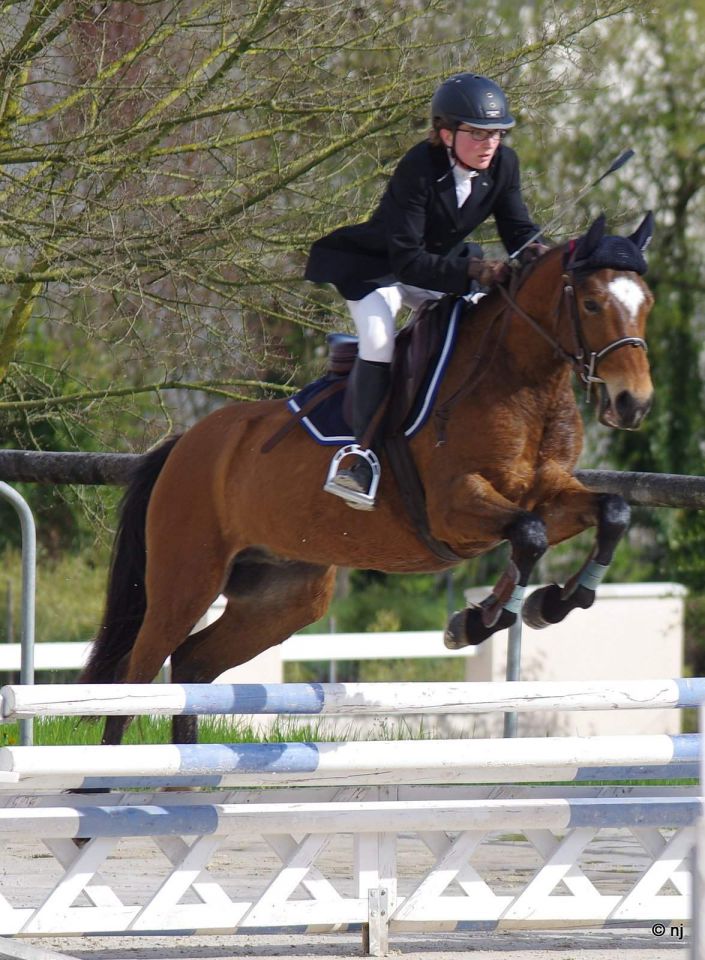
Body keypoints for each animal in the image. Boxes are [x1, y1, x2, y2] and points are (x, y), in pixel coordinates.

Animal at [81, 212, 655, 745]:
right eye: (591, 304)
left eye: (646, 302)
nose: (634, 404)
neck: (524, 384)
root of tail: (184, 445)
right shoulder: (454, 509)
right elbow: (530, 536)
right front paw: (478, 621)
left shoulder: (548, 494)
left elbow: (612, 512)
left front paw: (550, 604)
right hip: (186, 581)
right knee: (134, 679)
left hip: (285, 596)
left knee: (192, 663)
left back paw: (183, 780)